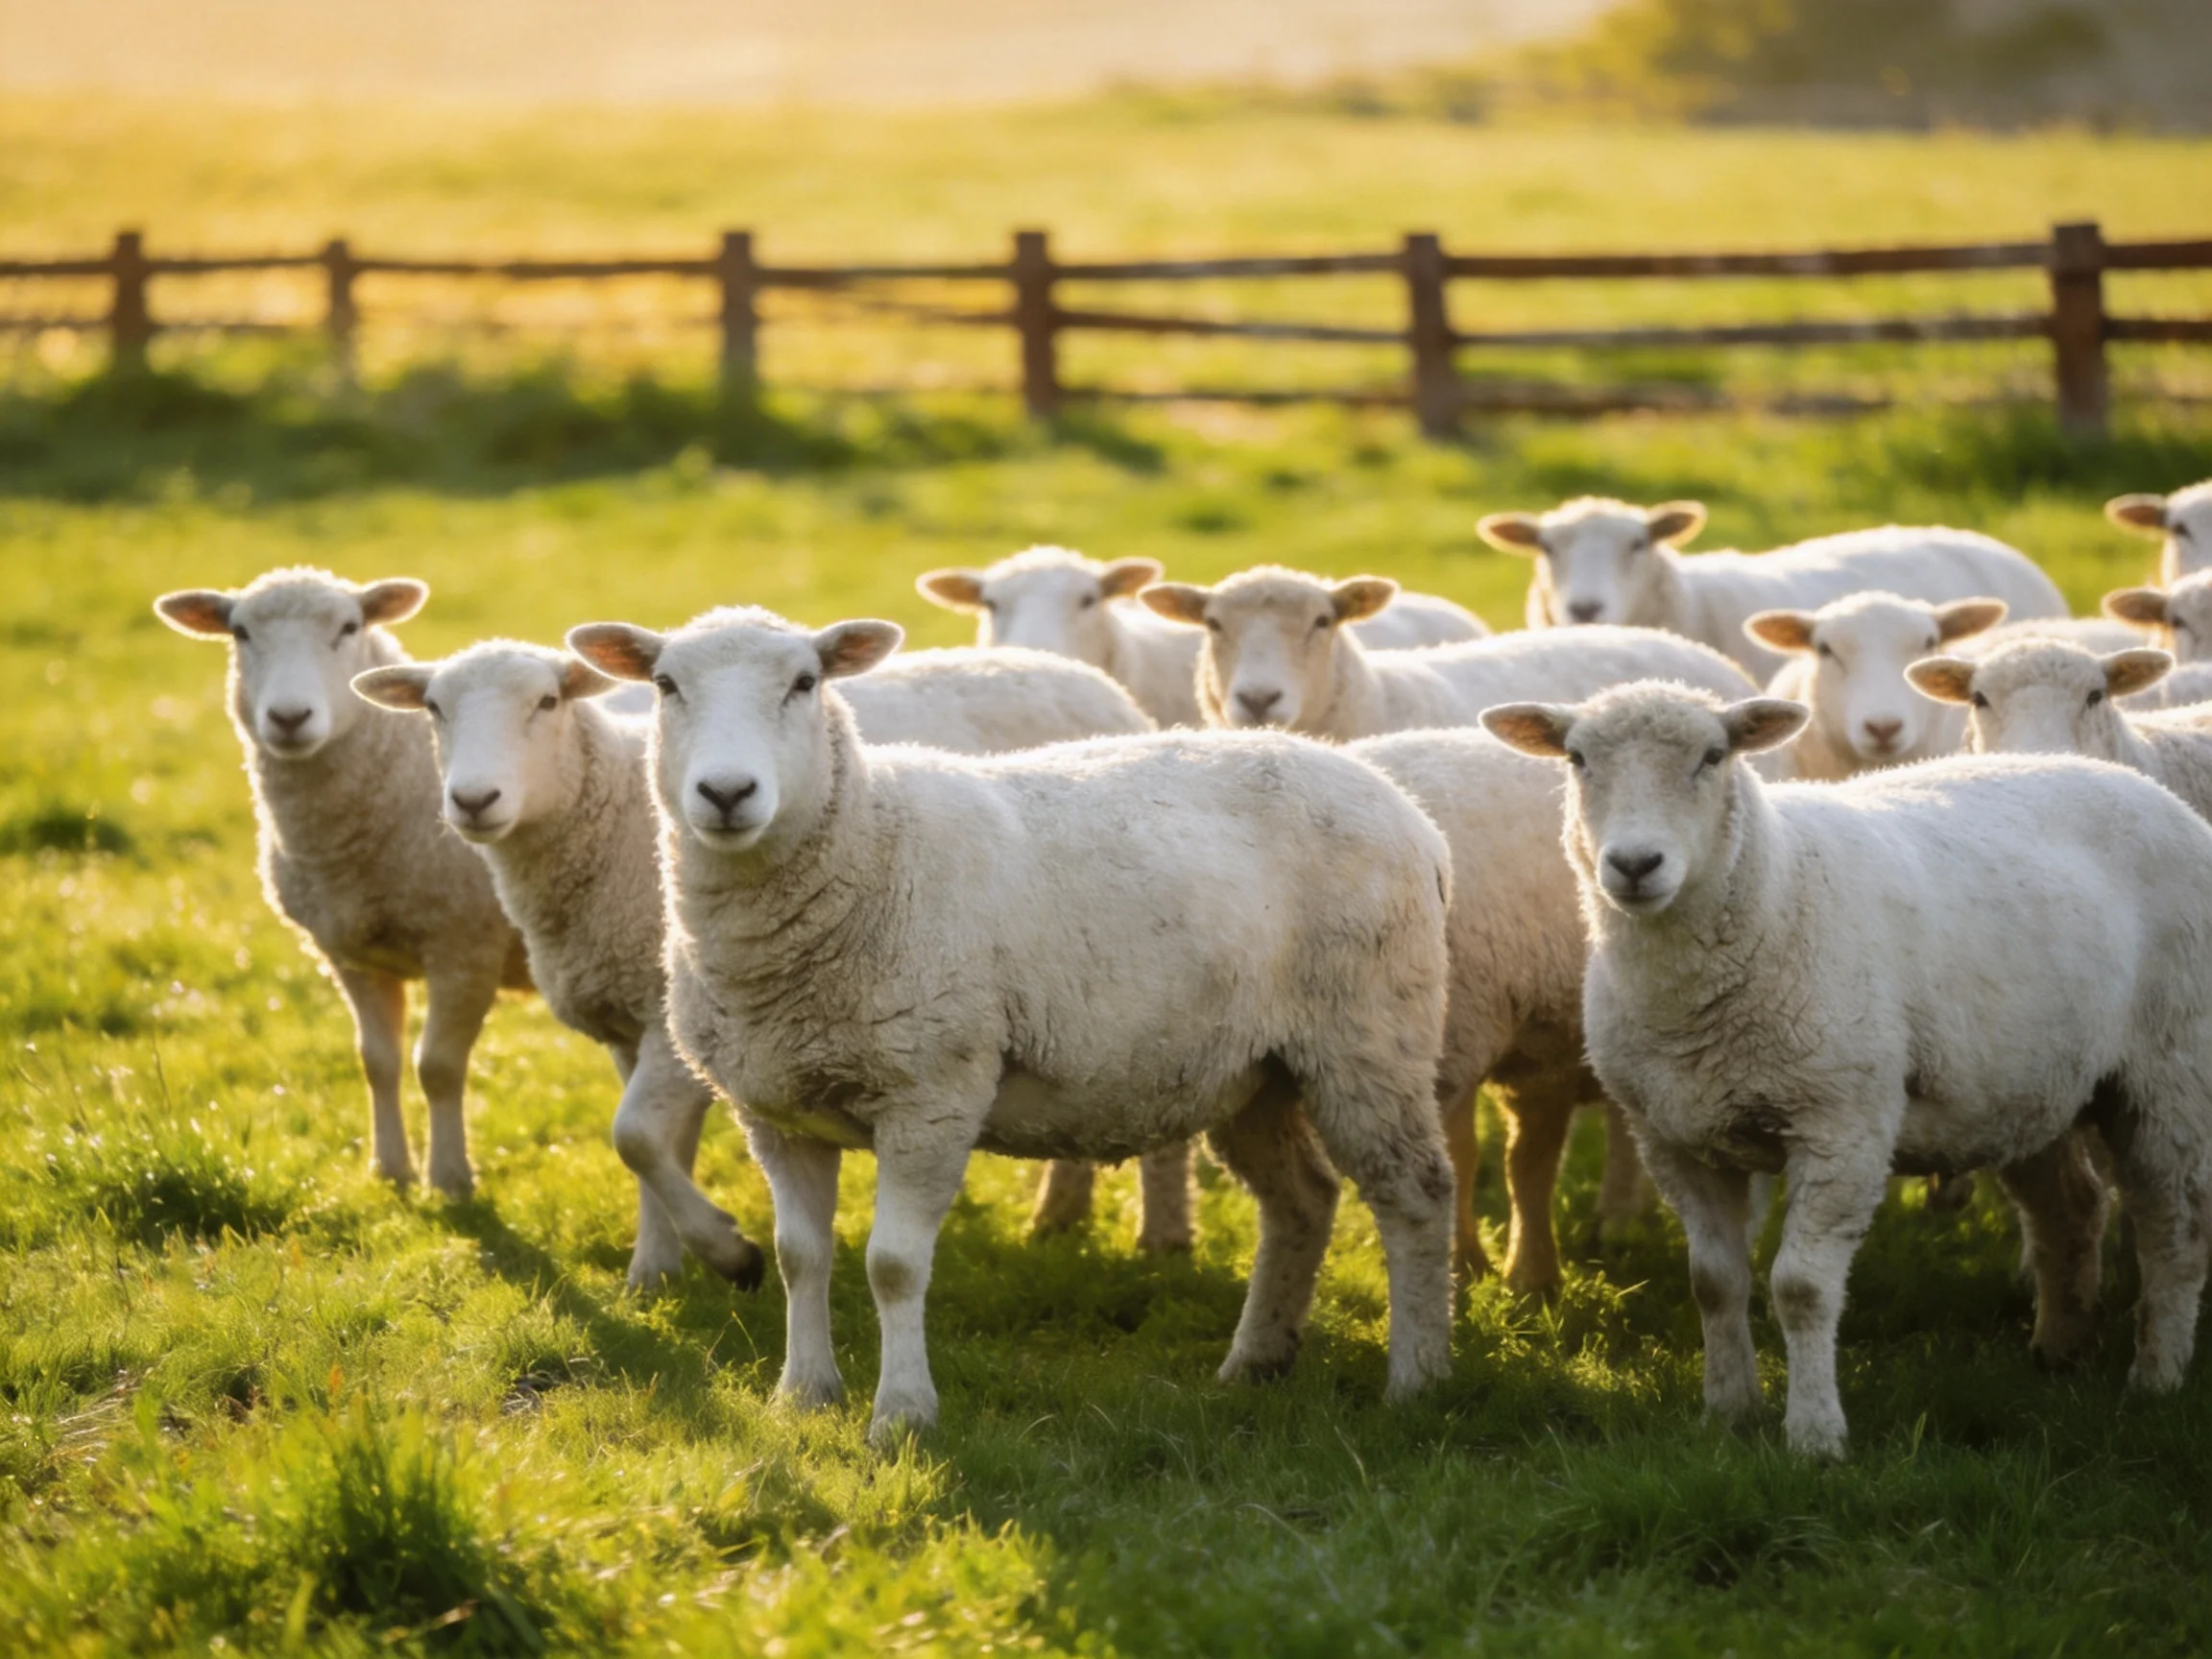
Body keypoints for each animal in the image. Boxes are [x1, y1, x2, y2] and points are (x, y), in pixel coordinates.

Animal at [154, 568, 529, 1198]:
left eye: (350, 627)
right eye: (240, 632)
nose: (288, 718)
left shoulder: (465, 943)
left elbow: (438, 1067)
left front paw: (450, 1179)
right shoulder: (350, 954)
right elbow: (378, 1062)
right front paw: (391, 1169)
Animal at [566, 605, 1460, 1440]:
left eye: (805, 683)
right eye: (665, 686)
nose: (726, 794)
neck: (869, 846)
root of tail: (1410, 813)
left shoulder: (931, 1092)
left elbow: (893, 1265)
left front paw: (902, 1415)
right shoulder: (778, 1110)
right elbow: (800, 1257)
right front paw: (803, 1393)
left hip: (1368, 1036)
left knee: (1415, 1193)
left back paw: (1417, 1381)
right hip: (1255, 1069)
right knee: (1301, 1199)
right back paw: (1255, 1362)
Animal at [1483, 681, 2212, 1457]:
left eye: (1713, 756)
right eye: (1576, 758)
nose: (1634, 865)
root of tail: (2138, 786)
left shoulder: (1841, 1125)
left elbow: (1800, 1287)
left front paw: (1814, 1435)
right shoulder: (1675, 1137)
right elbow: (1714, 1281)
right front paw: (1728, 1409)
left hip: (2169, 1069)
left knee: (2172, 1226)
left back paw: (2156, 1377)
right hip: (2031, 1083)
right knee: (2070, 1210)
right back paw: (2060, 1351)